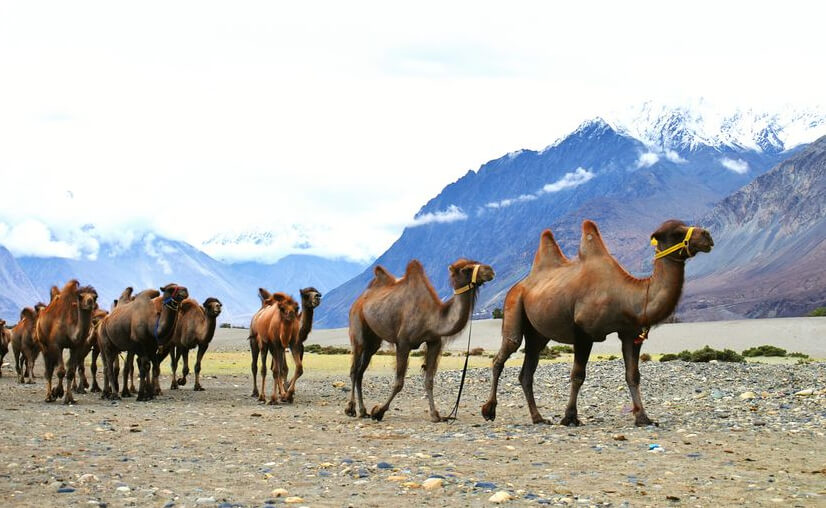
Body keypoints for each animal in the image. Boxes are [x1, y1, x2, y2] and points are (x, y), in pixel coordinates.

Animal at [344, 258, 492, 420]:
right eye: (466, 269)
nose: (490, 270)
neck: (432, 318)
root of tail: (359, 300)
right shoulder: (403, 343)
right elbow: (399, 382)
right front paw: (379, 411)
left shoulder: (434, 342)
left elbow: (429, 380)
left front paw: (435, 415)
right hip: (357, 326)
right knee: (354, 369)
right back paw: (350, 409)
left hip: (373, 342)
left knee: (360, 372)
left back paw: (363, 410)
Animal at [480, 218, 712, 424]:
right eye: (677, 232)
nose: (707, 235)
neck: (628, 296)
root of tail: (520, 284)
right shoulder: (583, 332)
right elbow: (578, 375)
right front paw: (570, 417)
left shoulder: (630, 333)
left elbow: (633, 375)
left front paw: (643, 417)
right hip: (513, 305)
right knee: (503, 353)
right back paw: (489, 410)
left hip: (538, 333)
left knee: (527, 372)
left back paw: (538, 417)